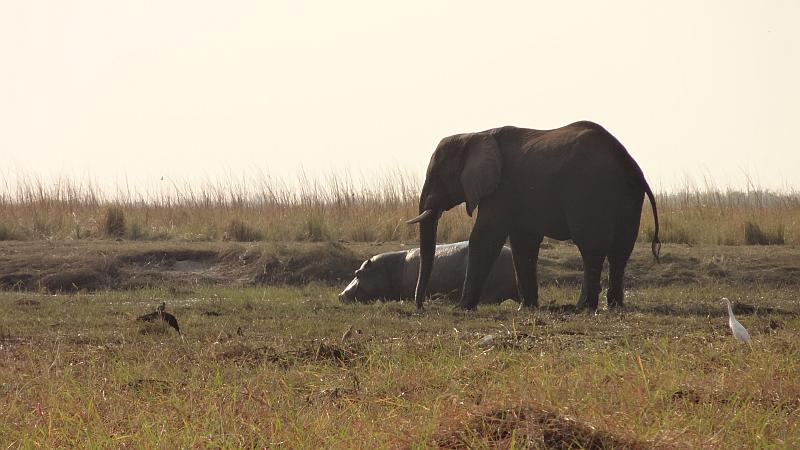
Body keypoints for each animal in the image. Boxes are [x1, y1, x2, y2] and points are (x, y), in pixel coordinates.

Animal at [410, 121, 660, 312]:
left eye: (436, 177)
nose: (422, 307)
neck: (475, 135)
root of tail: (627, 161)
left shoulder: (501, 189)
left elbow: (484, 239)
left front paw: (461, 308)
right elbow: (523, 244)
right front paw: (527, 308)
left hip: (589, 187)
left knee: (591, 245)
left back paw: (582, 307)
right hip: (628, 194)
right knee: (622, 248)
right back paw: (614, 306)